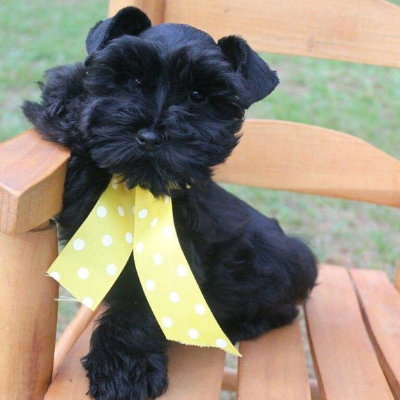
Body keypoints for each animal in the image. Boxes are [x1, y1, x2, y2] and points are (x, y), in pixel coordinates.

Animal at [23, 7, 318, 400]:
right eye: (132, 79)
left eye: (198, 95)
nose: (149, 136)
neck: (140, 189)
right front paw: (70, 91)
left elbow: (137, 312)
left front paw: (123, 371)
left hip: (279, 258)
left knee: (284, 310)